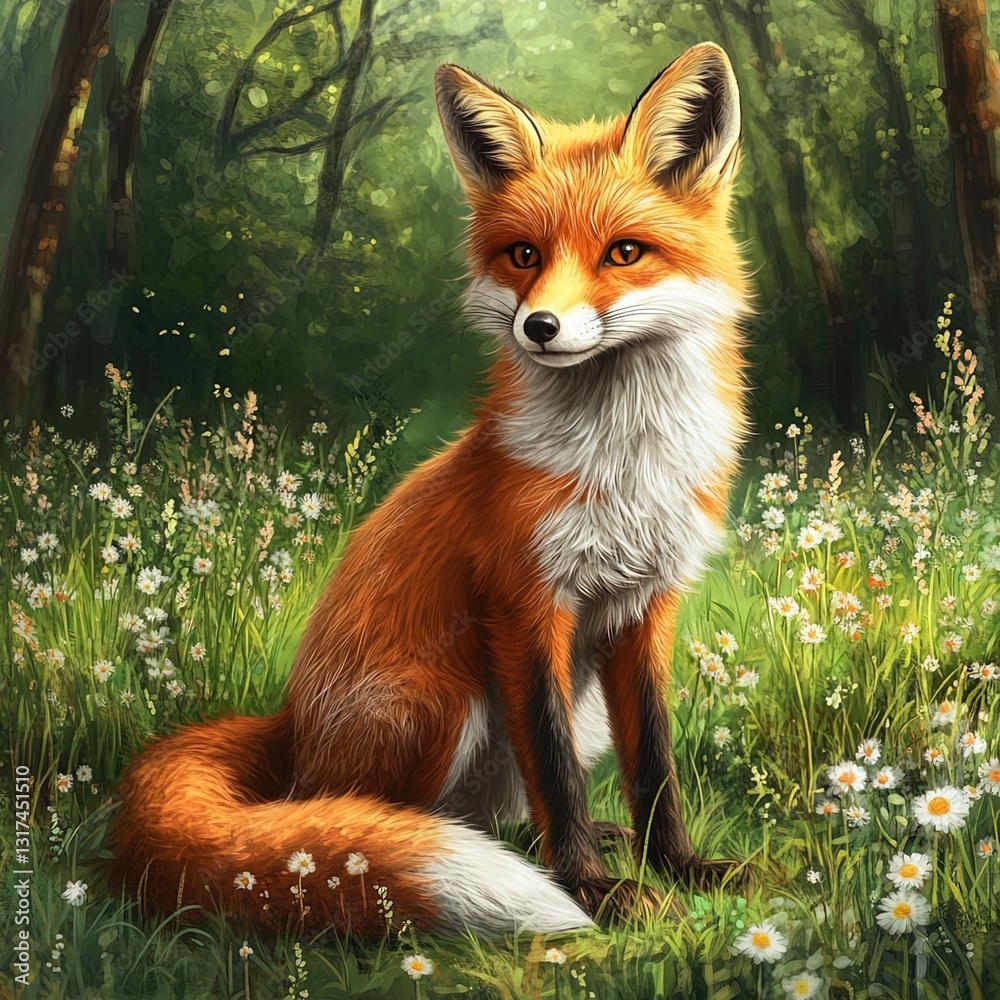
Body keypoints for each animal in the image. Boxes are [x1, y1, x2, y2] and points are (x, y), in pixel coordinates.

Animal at [110, 41, 751, 937]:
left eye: (624, 253)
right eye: (524, 256)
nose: (538, 327)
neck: (623, 467)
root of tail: (290, 726)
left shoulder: (645, 607)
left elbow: (654, 762)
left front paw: (680, 867)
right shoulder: (524, 605)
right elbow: (555, 767)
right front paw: (592, 893)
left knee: (495, 813)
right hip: (440, 703)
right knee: (355, 823)